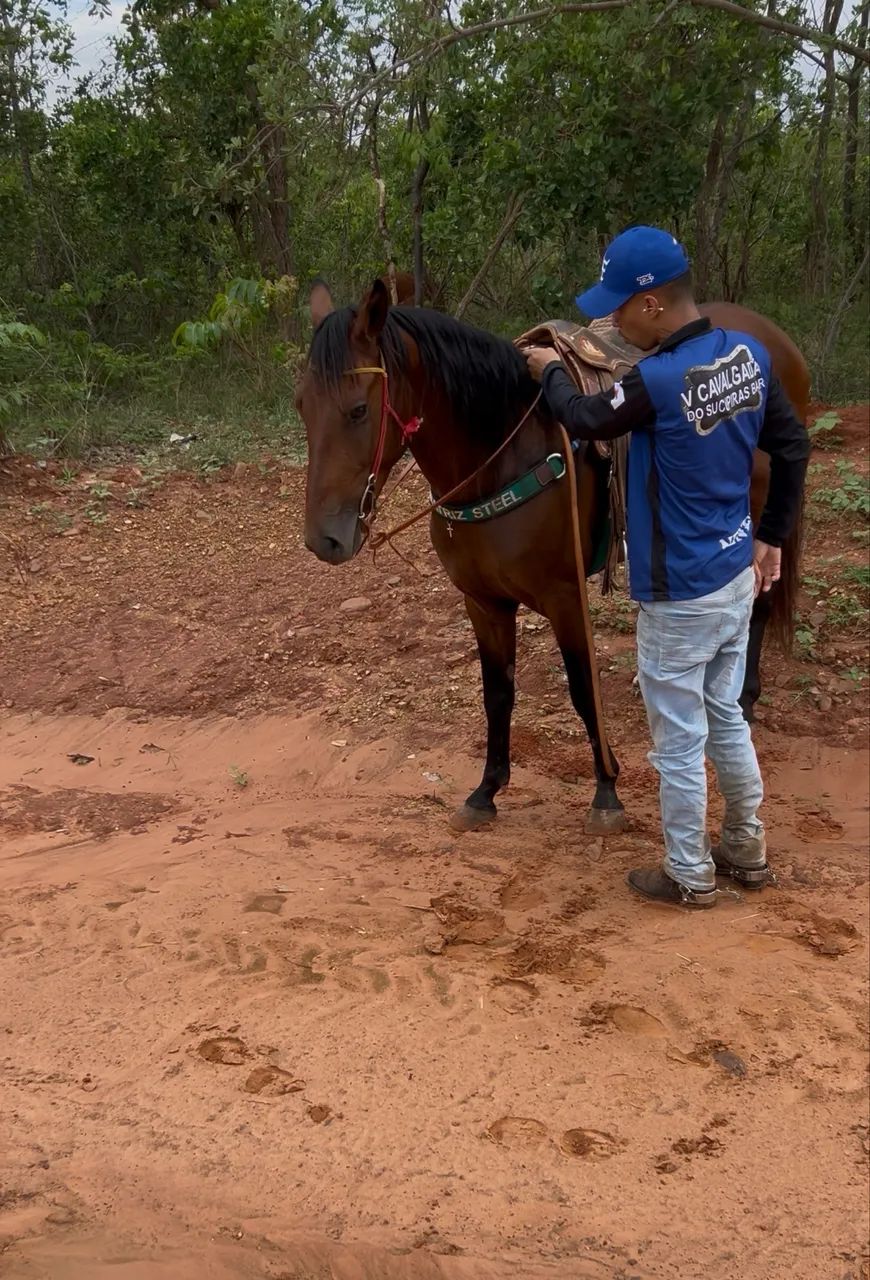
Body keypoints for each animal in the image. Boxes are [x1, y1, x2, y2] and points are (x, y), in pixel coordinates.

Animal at [297, 279, 808, 836]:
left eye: (358, 410)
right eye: (302, 407)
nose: (323, 540)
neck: (501, 455)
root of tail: (776, 339)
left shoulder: (565, 597)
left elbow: (583, 690)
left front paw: (606, 791)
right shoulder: (483, 602)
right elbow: (497, 694)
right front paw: (486, 791)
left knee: (758, 603)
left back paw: (745, 697)